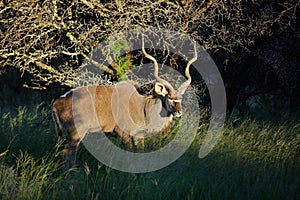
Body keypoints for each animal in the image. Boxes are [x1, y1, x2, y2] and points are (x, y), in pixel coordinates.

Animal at [52, 42, 197, 169]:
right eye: (170, 97)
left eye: (180, 98)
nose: (178, 112)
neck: (142, 107)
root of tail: (57, 102)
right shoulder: (123, 132)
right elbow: (129, 153)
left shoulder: (138, 135)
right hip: (77, 133)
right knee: (66, 154)